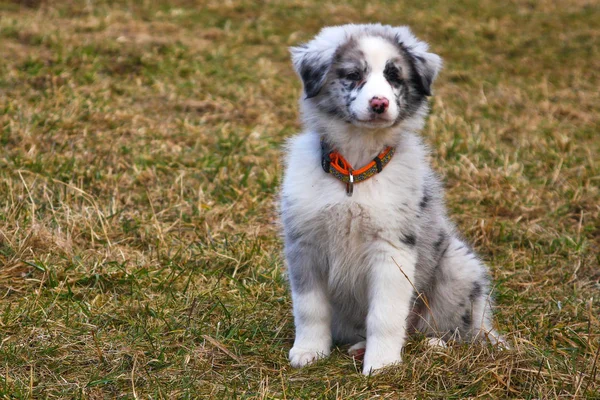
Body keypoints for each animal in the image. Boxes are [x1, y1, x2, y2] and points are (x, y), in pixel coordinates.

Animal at [280, 24, 502, 376]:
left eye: (394, 76)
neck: (355, 170)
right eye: (353, 75)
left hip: (458, 267)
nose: (380, 103)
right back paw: (358, 347)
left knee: (453, 332)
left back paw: (435, 345)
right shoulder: (305, 244)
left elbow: (385, 314)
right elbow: (309, 307)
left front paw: (382, 364)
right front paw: (309, 351)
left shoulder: (393, 248)